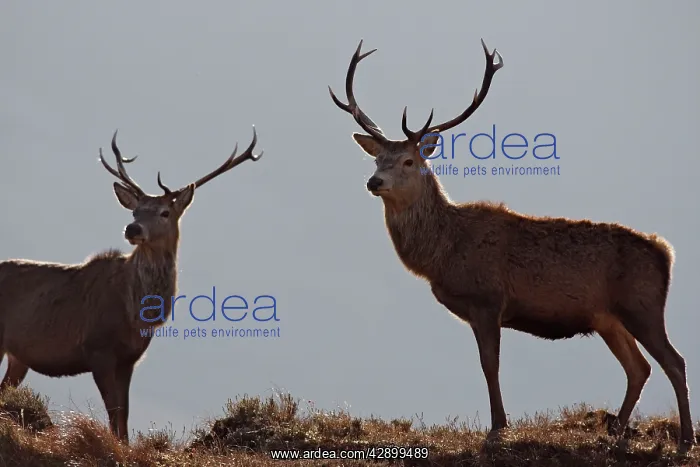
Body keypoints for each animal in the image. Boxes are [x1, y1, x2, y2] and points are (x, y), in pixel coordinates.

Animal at [0, 127, 262, 443]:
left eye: (164, 212)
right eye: (135, 211)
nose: (132, 228)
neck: (136, 313)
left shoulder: (129, 358)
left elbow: (123, 417)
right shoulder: (97, 348)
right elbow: (113, 413)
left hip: (18, 356)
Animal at [329, 39, 694, 454]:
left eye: (408, 160)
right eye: (377, 157)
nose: (374, 181)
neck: (443, 253)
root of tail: (665, 253)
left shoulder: (488, 299)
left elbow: (490, 365)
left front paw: (498, 429)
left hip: (642, 305)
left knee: (674, 362)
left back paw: (684, 439)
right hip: (608, 318)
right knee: (639, 367)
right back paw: (615, 431)